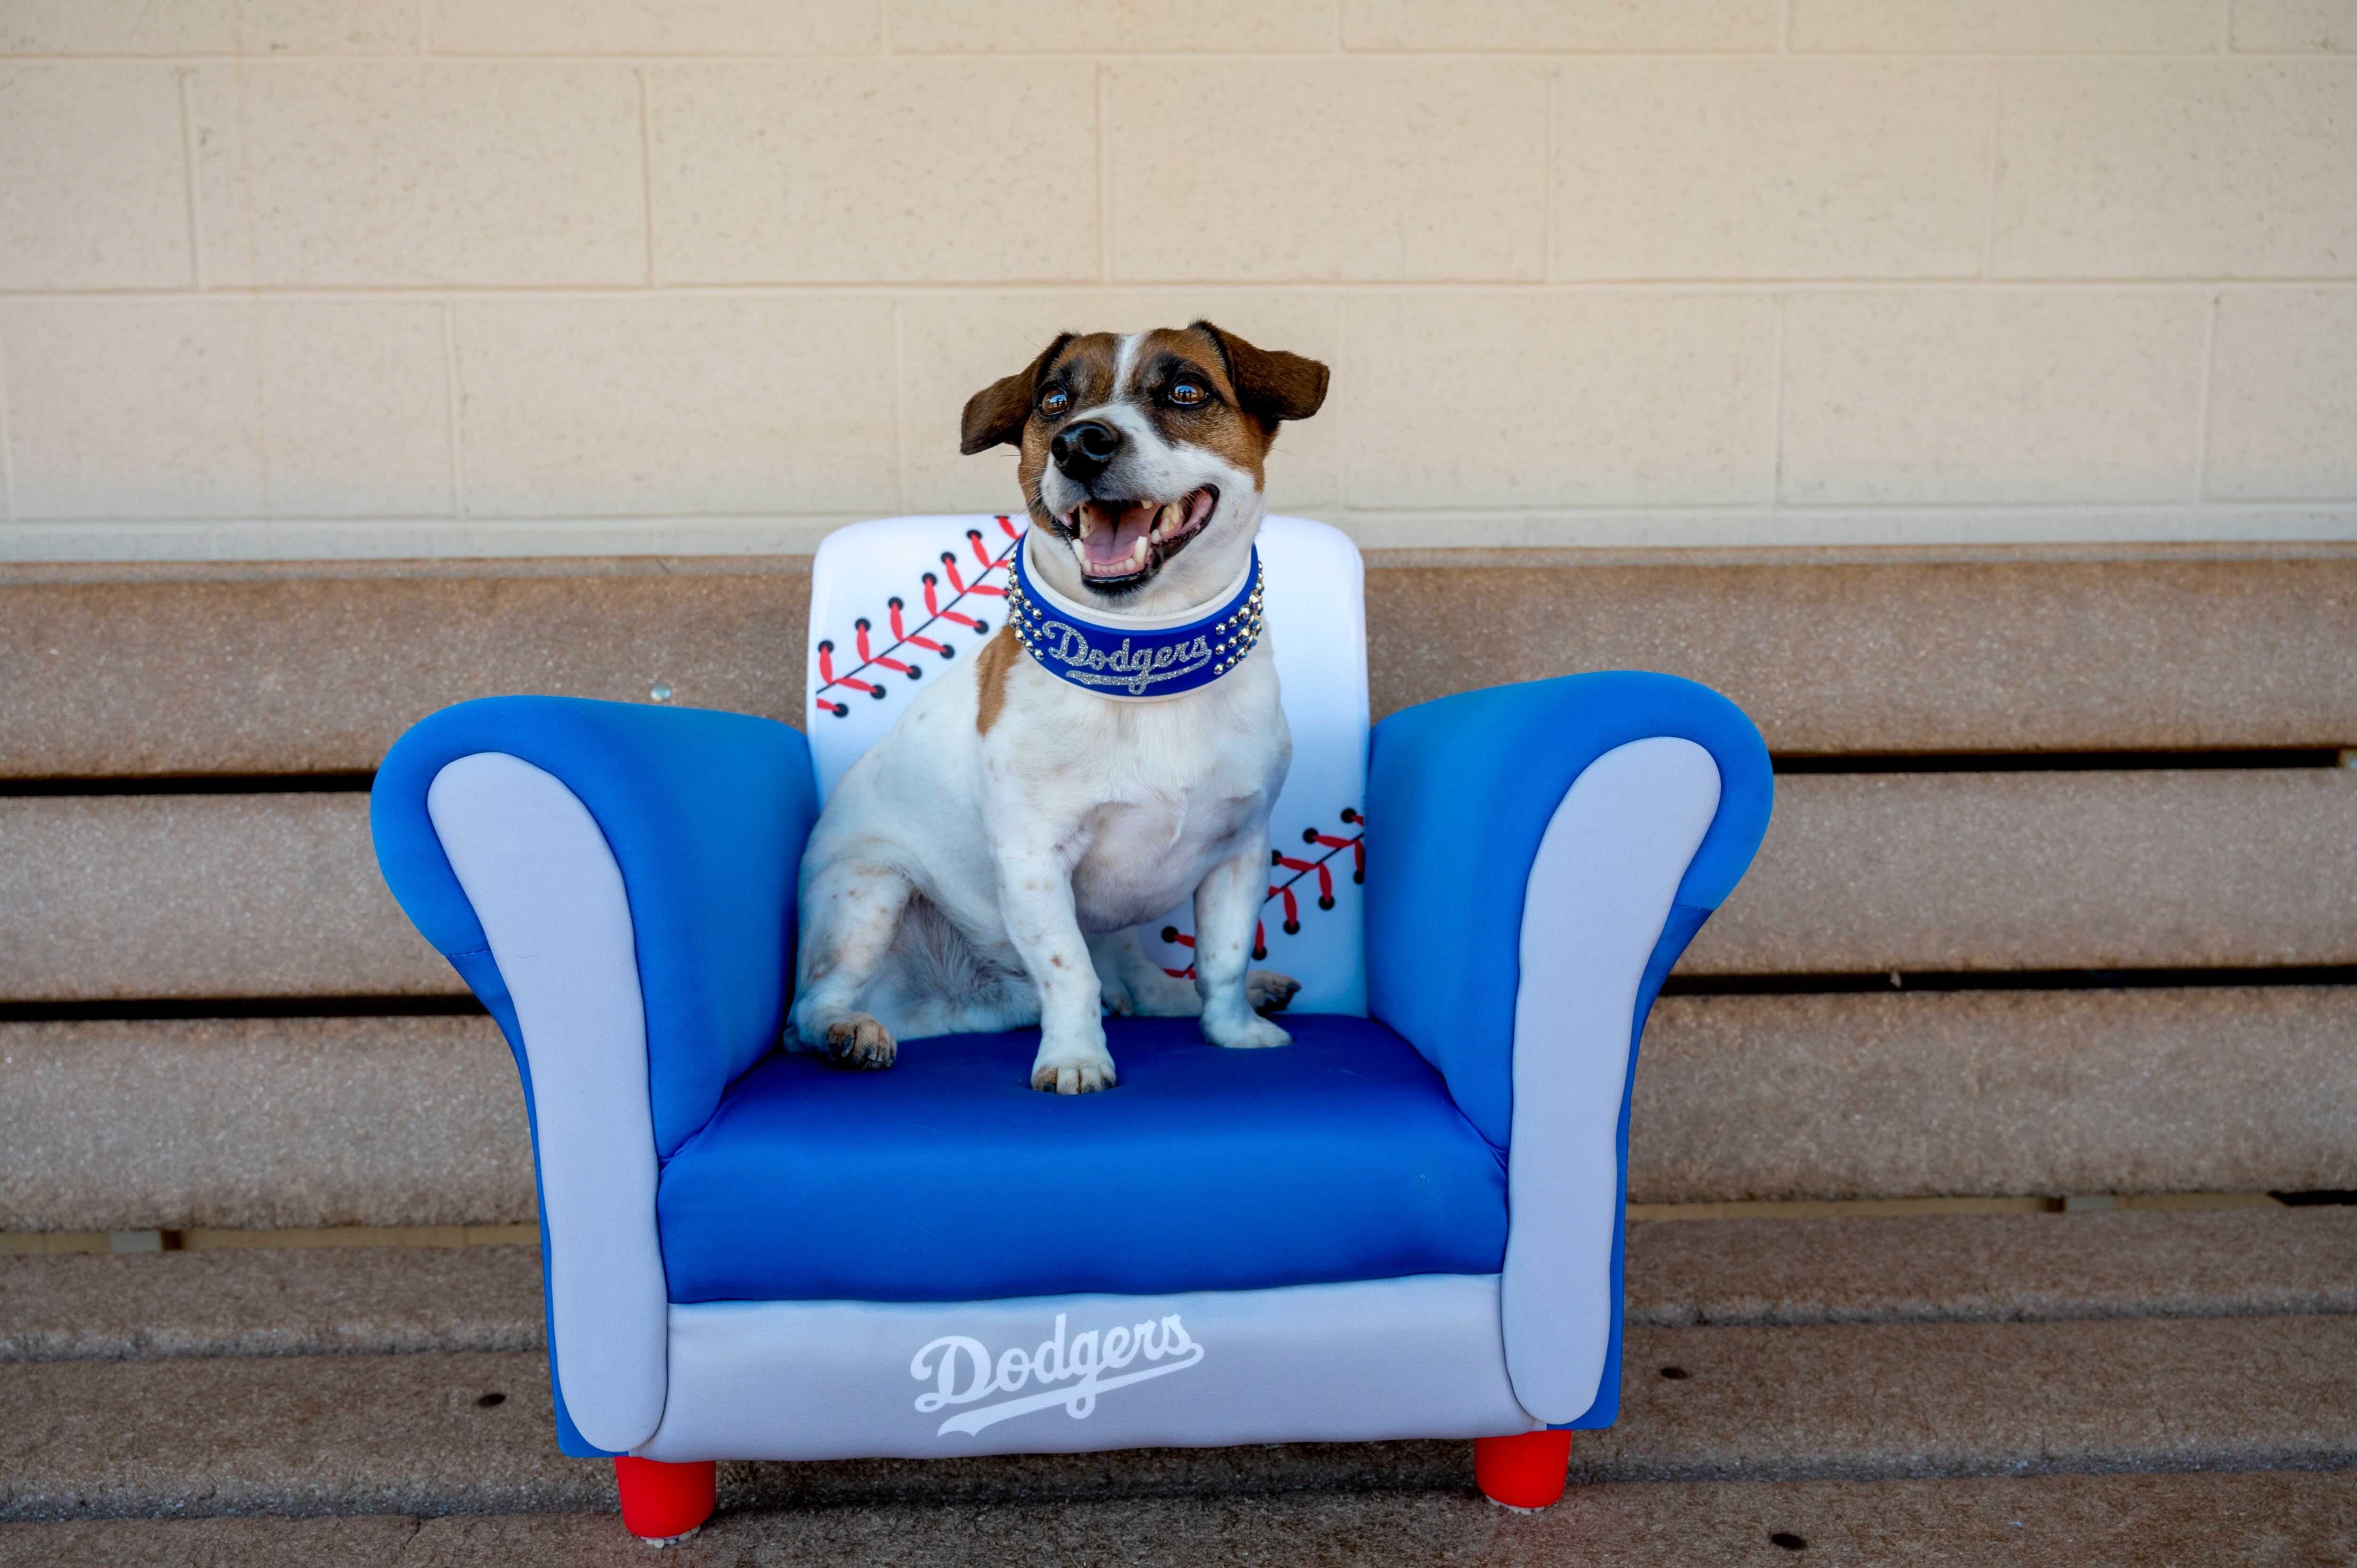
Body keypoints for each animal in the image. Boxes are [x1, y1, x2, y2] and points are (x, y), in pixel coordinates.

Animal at [787, 321, 1329, 1089]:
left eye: (1186, 391)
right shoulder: (1034, 860)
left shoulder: (1240, 851)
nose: (1081, 441)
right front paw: (1075, 1057)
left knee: (1143, 984)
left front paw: (1234, 1030)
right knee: (810, 1007)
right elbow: (1067, 970)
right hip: (871, 892)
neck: (1144, 662)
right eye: (1052, 401)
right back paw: (848, 1029)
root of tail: (955, 1006)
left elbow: (1220, 961)